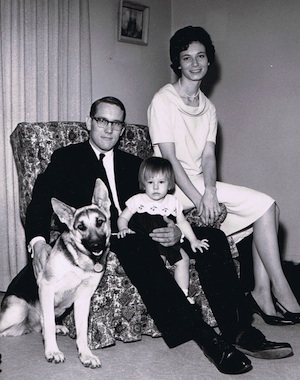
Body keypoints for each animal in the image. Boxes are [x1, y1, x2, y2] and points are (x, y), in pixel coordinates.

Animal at [0, 180, 111, 370]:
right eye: (81, 227)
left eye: (100, 222)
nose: (96, 246)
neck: (79, 262)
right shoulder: (46, 288)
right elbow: (50, 324)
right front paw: (52, 351)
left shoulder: (83, 298)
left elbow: (82, 331)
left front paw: (86, 354)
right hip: (17, 309)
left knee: (41, 324)